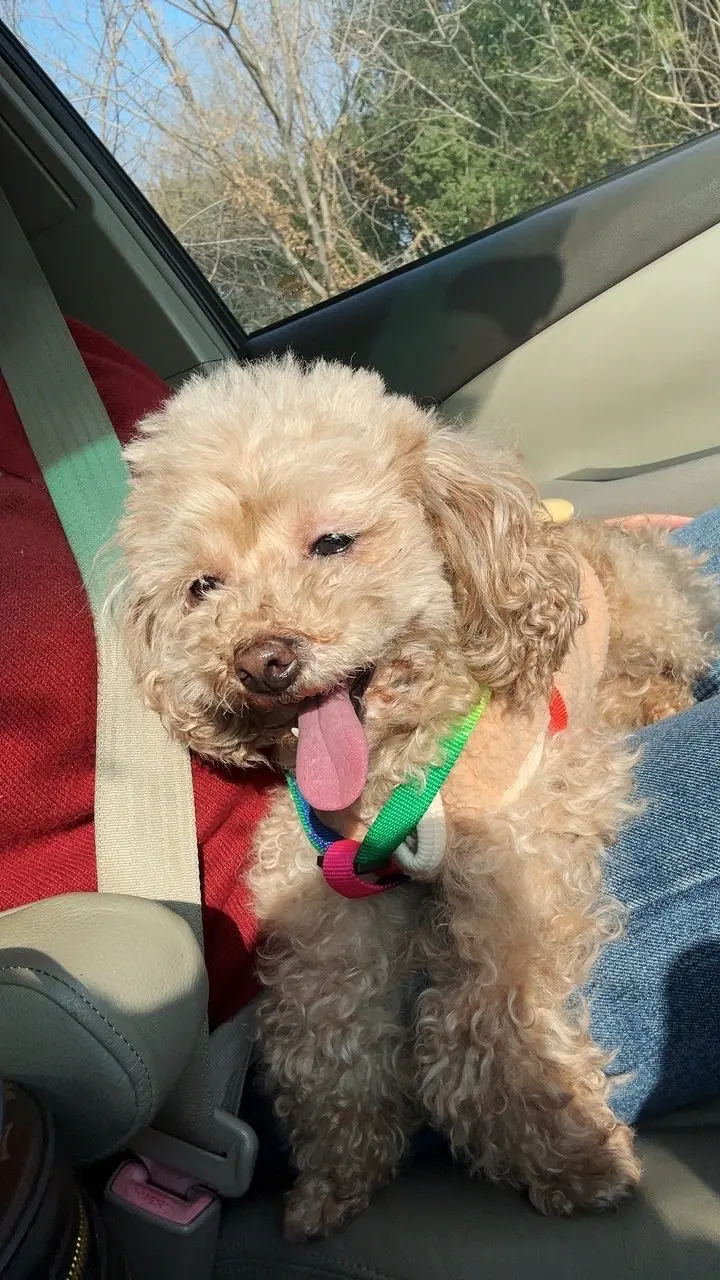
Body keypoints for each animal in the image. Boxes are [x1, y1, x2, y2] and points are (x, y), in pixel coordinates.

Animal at [116, 355, 718, 1241]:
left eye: (333, 542)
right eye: (203, 587)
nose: (263, 659)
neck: (394, 775)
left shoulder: (522, 838)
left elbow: (485, 1011)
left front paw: (561, 1145)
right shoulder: (324, 891)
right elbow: (325, 1028)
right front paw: (338, 1173)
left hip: (651, 607)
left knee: (659, 664)